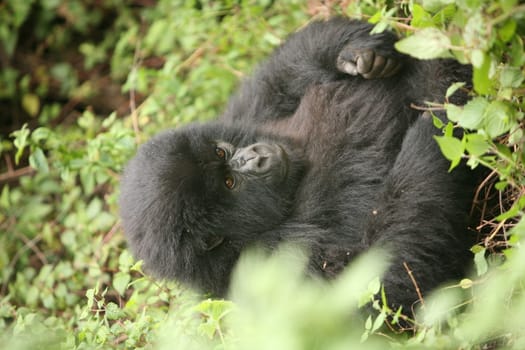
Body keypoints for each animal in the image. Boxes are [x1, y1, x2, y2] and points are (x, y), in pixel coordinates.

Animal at [119, 17, 474, 312]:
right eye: (230, 184)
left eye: (221, 154)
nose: (254, 157)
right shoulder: (272, 264)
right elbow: (379, 281)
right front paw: (438, 123)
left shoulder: (243, 118)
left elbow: (277, 78)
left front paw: (351, 50)